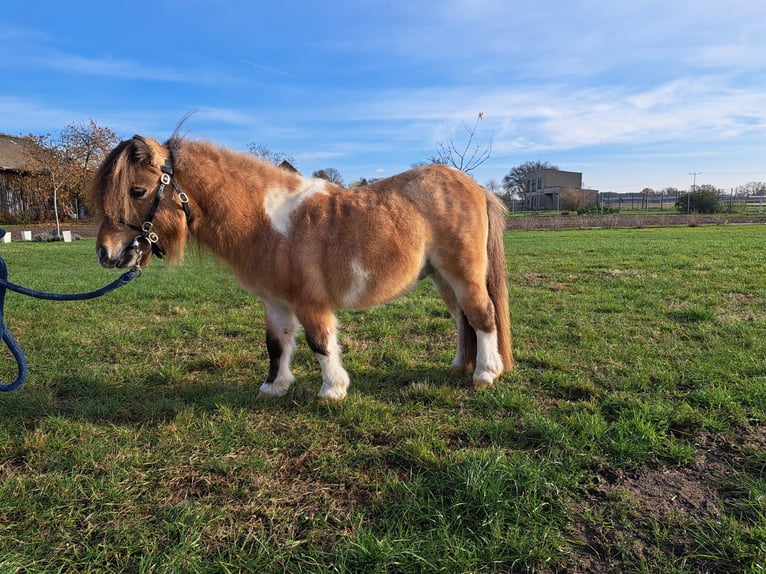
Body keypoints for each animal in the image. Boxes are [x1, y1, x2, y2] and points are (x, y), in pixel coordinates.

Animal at [91, 135, 516, 400]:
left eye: (138, 191)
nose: (106, 254)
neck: (268, 221)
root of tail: (474, 186)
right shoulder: (275, 302)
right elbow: (277, 343)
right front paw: (274, 388)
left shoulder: (309, 301)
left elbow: (320, 341)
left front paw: (332, 391)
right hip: (442, 279)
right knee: (463, 320)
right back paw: (460, 367)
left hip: (463, 274)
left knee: (482, 315)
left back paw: (485, 374)